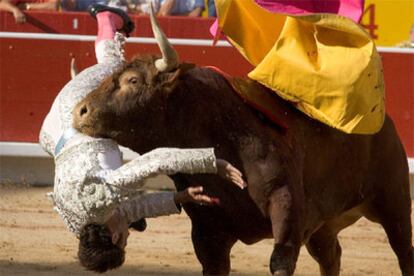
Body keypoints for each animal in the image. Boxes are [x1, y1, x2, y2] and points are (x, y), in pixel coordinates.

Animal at [72, 8, 414, 276]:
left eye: (132, 81)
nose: (79, 112)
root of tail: (383, 121)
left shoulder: (286, 207)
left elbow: (280, 261)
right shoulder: (208, 235)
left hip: (393, 200)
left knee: (403, 251)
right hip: (324, 226)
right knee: (331, 257)